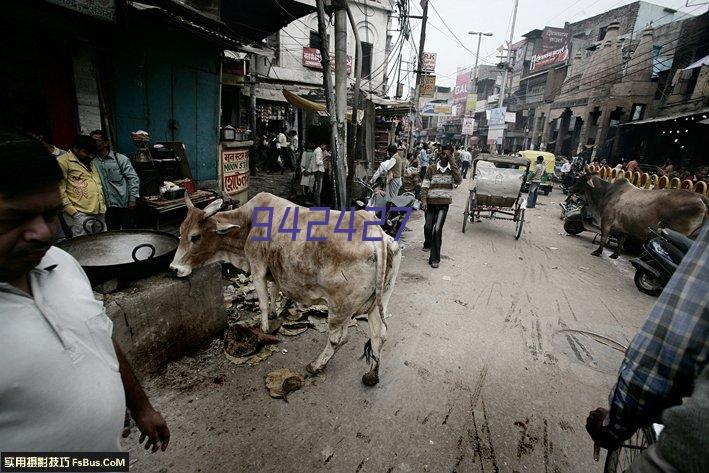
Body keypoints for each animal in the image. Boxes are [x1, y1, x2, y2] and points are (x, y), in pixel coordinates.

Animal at [166, 191, 398, 384]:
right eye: (180, 231)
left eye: (195, 236)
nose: (174, 268)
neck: (248, 223)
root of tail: (377, 233)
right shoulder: (273, 271)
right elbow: (273, 291)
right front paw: (275, 312)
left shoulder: (257, 268)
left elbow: (262, 301)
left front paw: (264, 328)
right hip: (379, 302)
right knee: (379, 335)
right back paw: (371, 375)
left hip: (340, 308)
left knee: (337, 338)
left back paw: (316, 365)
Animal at [568, 172, 708, 256]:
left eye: (581, 180)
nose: (570, 189)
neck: (606, 193)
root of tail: (701, 197)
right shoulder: (625, 225)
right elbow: (621, 240)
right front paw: (615, 255)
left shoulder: (606, 221)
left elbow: (603, 237)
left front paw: (598, 252)